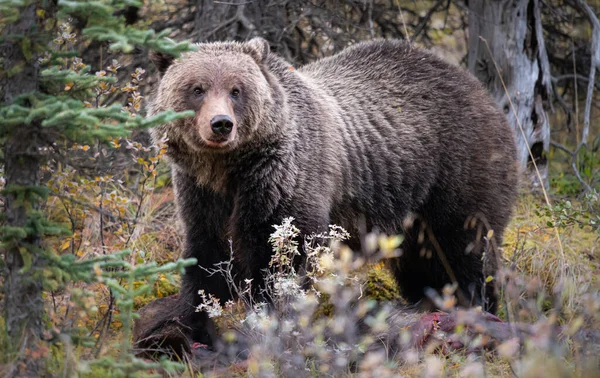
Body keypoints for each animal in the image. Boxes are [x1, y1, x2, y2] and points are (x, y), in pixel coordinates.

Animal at [143, 37, 516, 352]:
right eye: (197, 88)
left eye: (236, 89)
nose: (221, 124)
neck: (229, 170)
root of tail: (475, 85)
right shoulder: (202, 195)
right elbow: (207, 259)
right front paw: (189, 327)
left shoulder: (284, 180)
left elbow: (282, 259)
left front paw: (272, 322)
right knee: (421, 265)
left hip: (457, 171)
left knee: (461, 250)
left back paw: (476, 309)